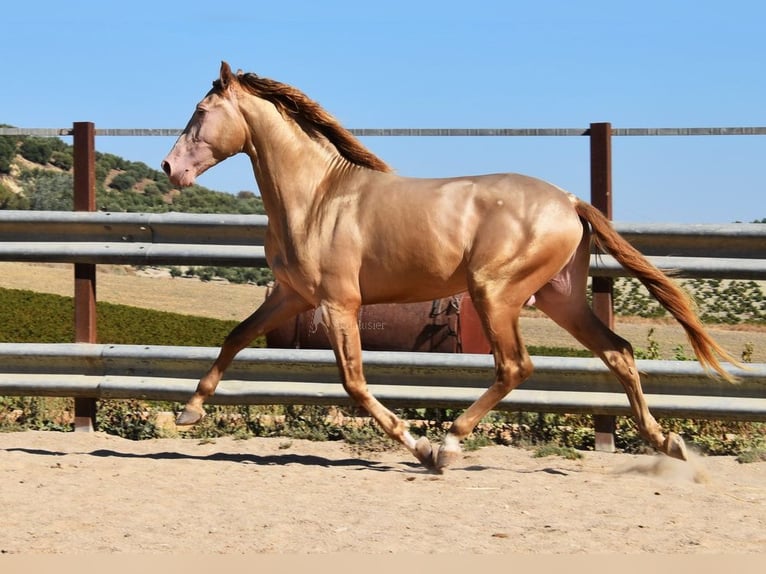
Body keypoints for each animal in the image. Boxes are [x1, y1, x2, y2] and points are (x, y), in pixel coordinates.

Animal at [164, 62, 744, 472]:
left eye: (200, 110)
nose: (171, 167)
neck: (319, 198)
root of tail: (570, 200)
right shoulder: (292, 296)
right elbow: (236, 337)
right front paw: (189, 412)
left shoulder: (339, 303)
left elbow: (354, 382)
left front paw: (418, 447)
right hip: (559, 297)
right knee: (619, 352)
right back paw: (668, 441)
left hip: (495, 293)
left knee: (516, 367)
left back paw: (448, 446)